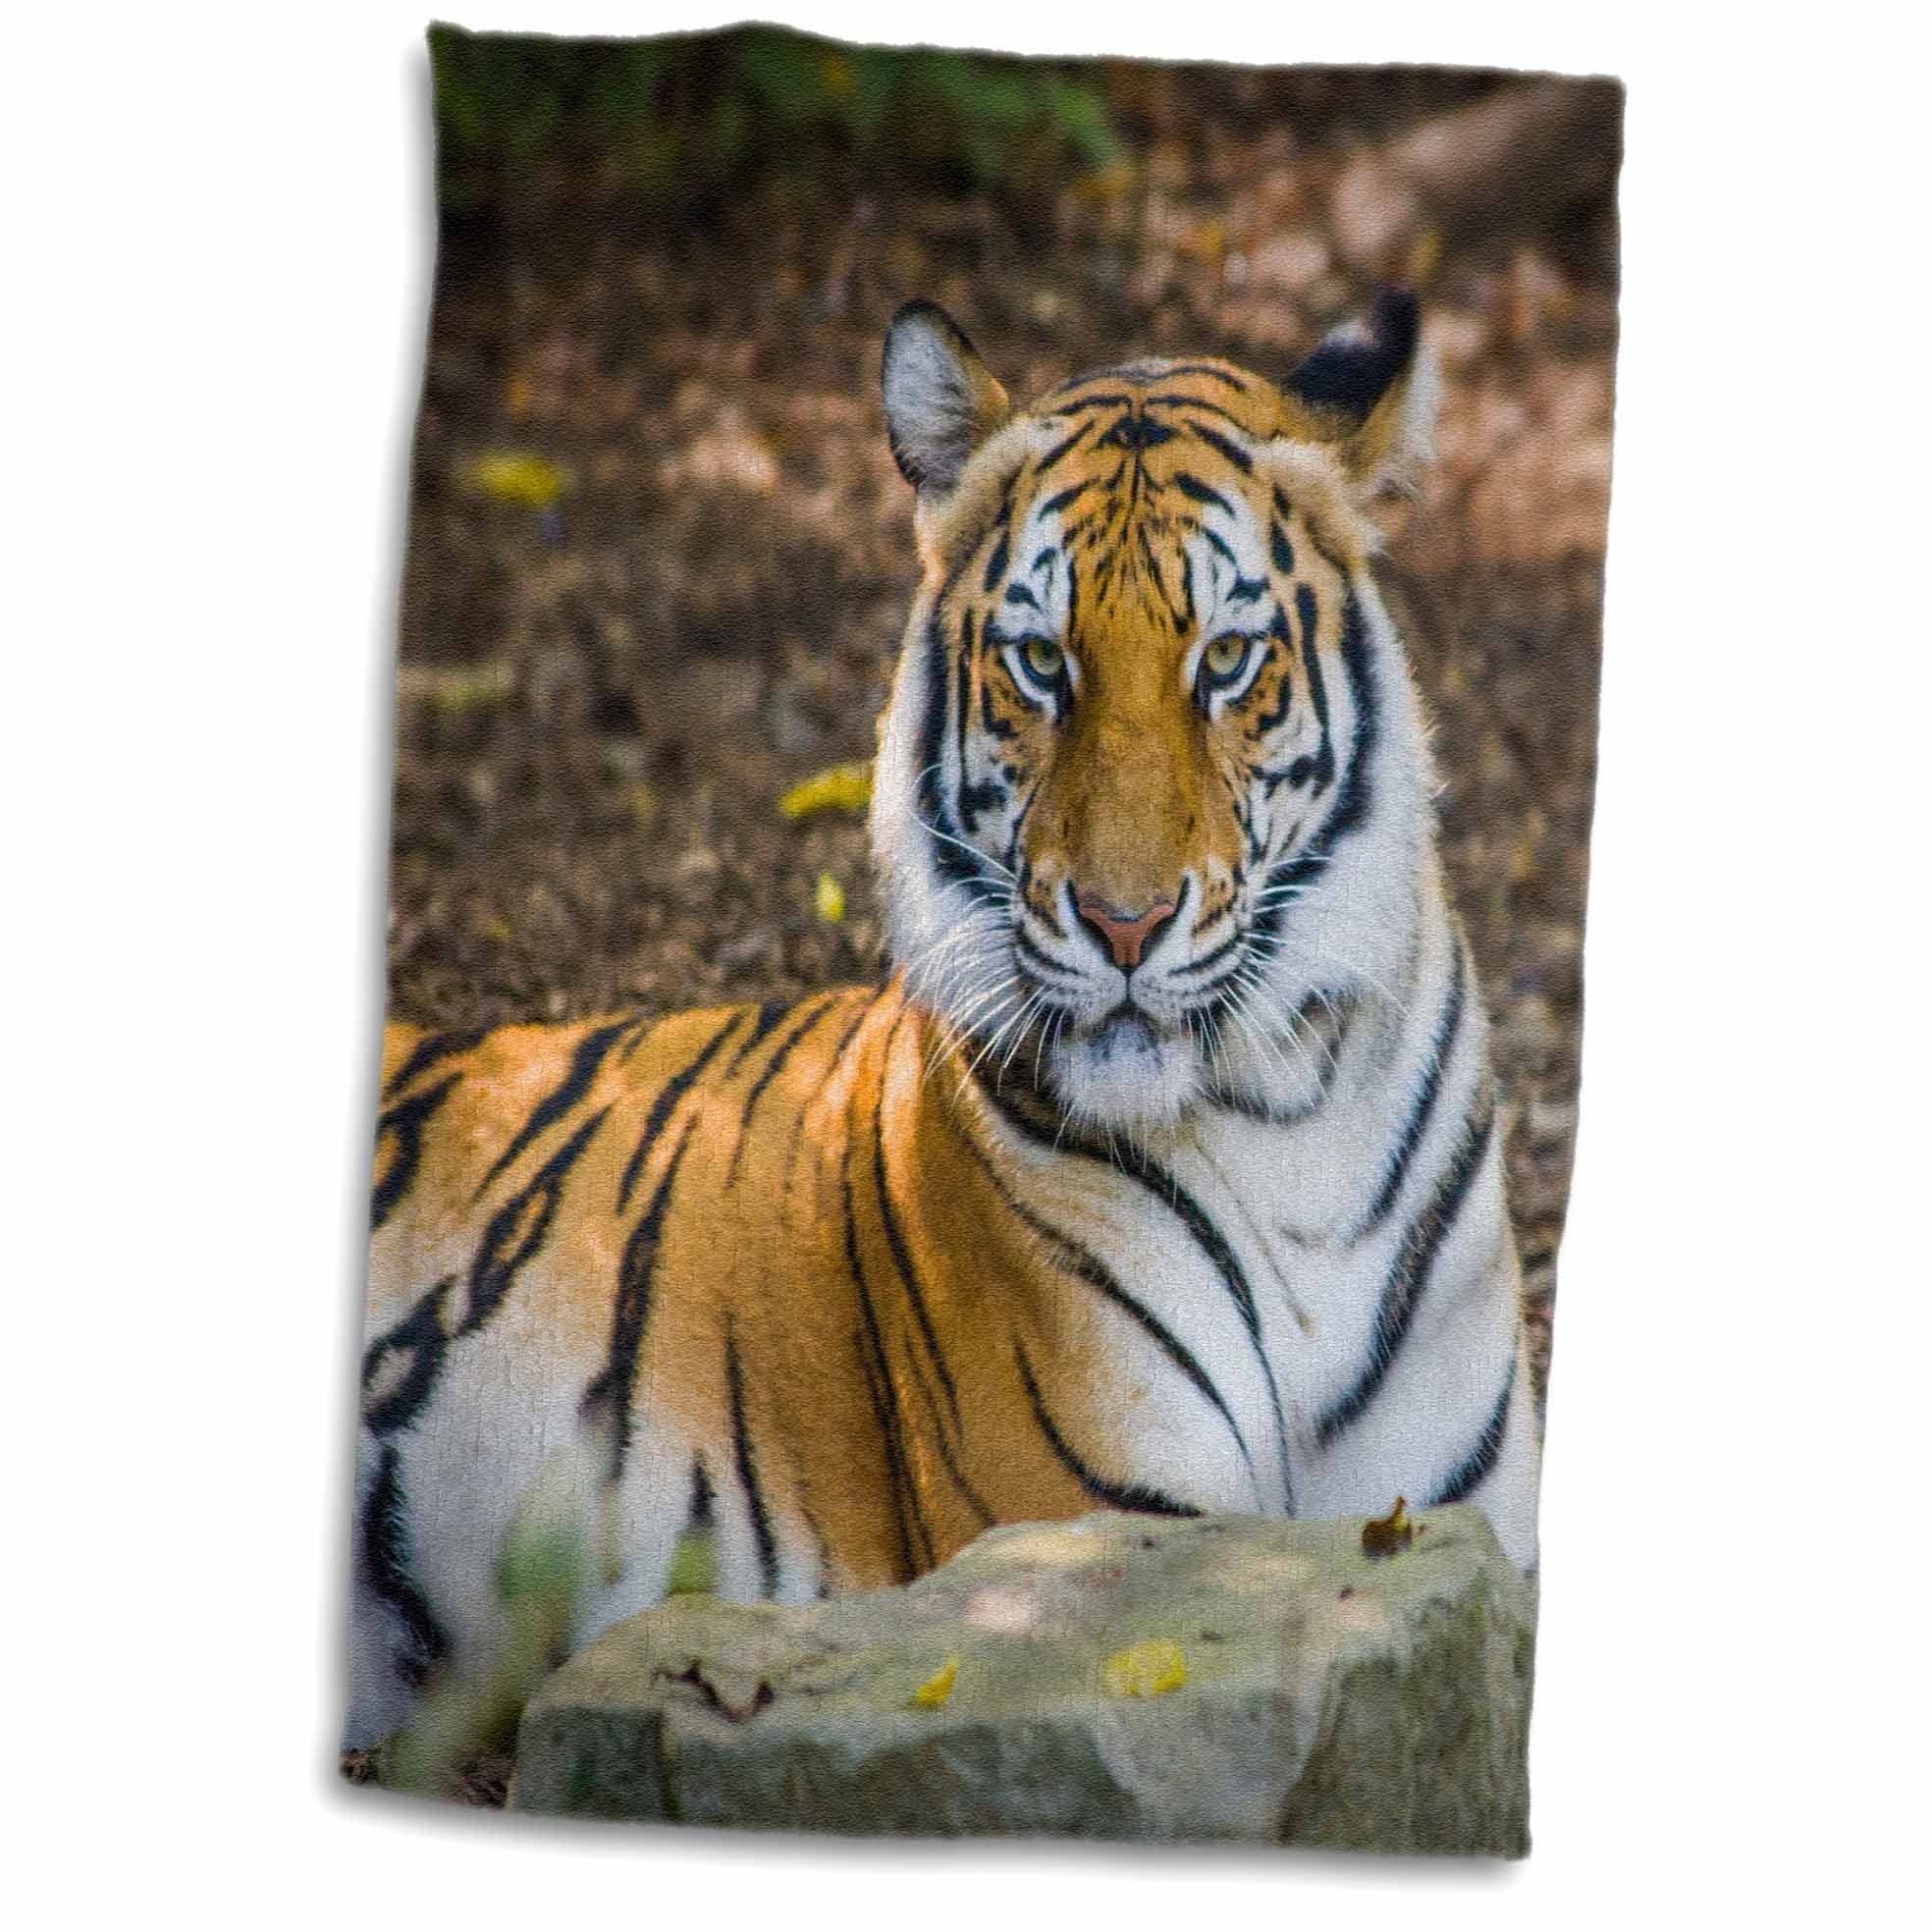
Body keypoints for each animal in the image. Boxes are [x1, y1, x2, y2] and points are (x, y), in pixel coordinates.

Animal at [347, 287, 1541, 1751]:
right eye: (1040, 663)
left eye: (1226, 660)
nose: (1125, 924)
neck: (1289, 1112)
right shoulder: (1099, 1539)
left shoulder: (1467, 1532)